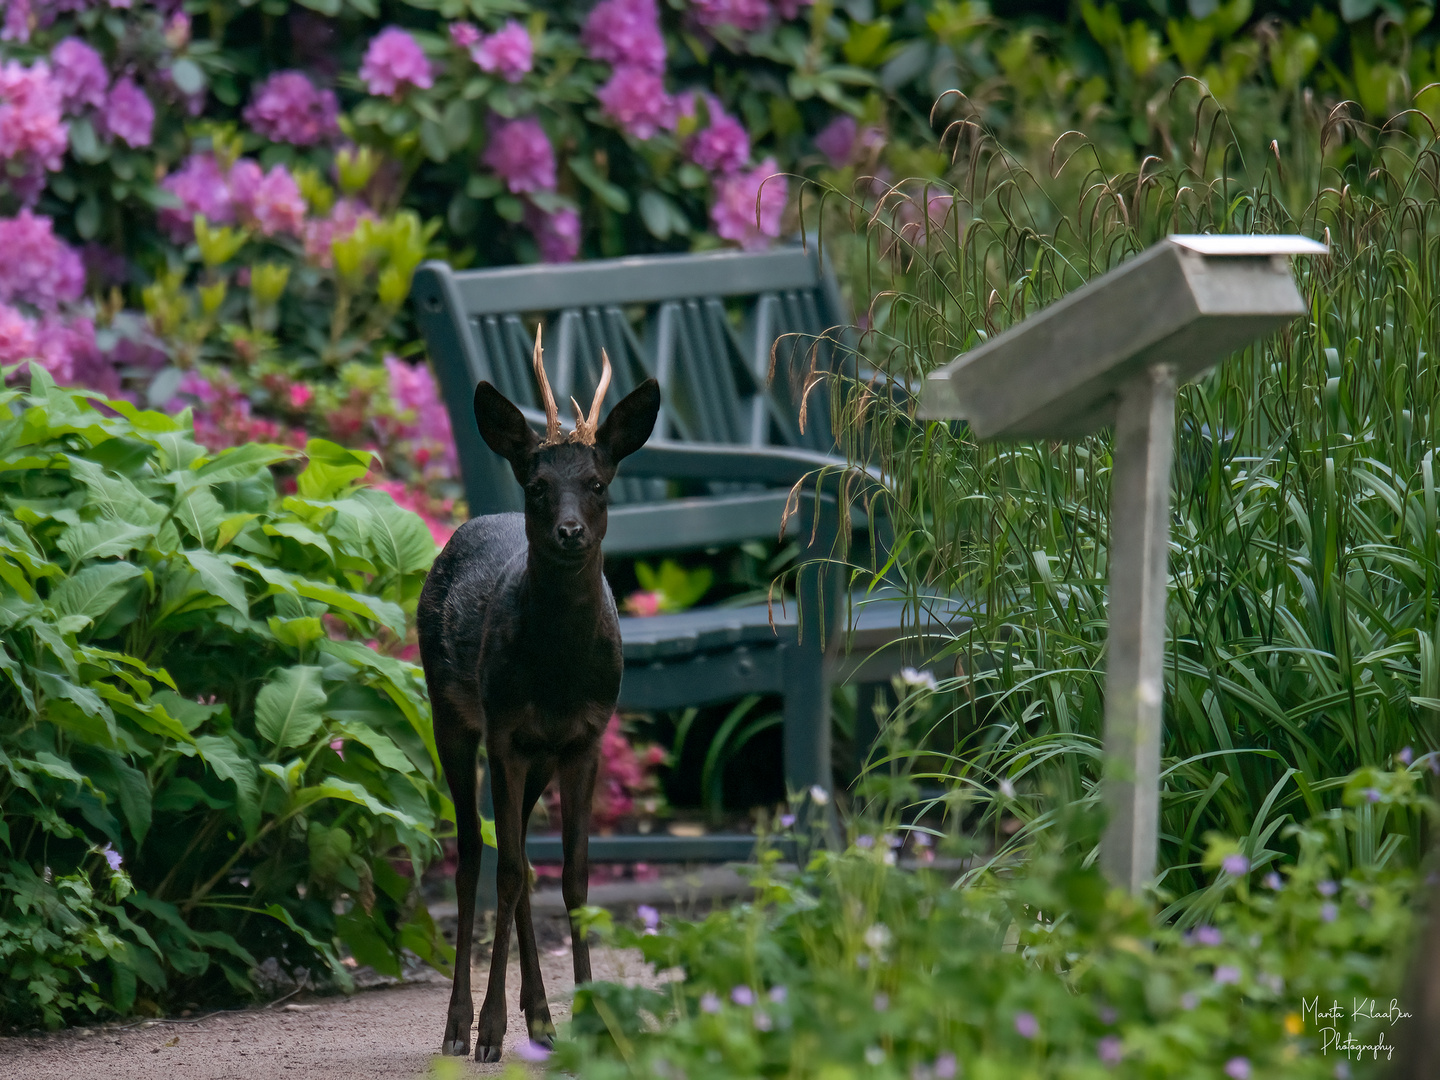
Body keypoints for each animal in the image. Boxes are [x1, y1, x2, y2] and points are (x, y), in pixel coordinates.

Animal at [420, 332, 659, 1065]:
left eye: (598, 484)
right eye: (537, 485)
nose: (570, 531)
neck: (556, 674)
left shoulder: (584, 737)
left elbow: (574, 879)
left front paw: (595, 1018)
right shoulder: (505, 733)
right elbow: (505, 872)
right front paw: (491, 1032)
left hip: (538, 757)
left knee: (521, 857)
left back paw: (544, 1020)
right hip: (450, 714)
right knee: (476, 856)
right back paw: (461, 1027)